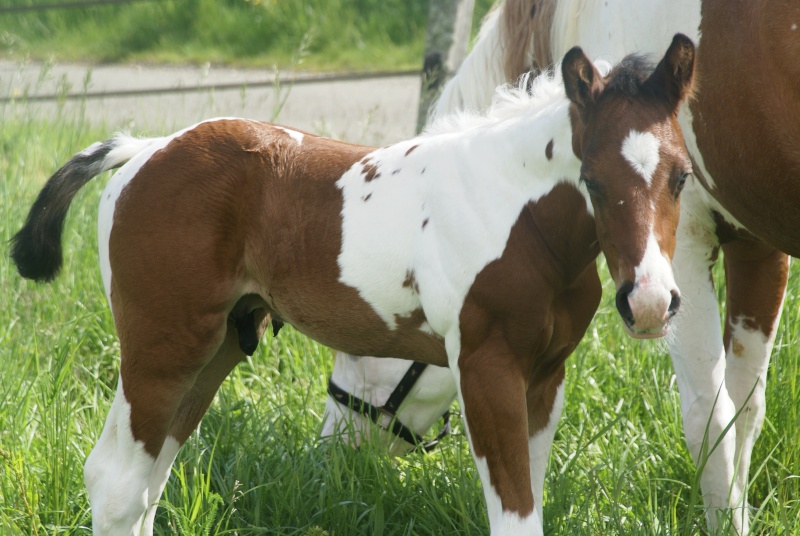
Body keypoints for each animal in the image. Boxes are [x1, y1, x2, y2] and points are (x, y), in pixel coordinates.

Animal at [12, 38, 692, 536]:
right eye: (593, 180)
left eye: (682, 176)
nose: (649, 303)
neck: (513, 211)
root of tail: (145, 148)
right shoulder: (487, 368)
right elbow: (515, 519)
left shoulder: (545, 379)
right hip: (162, 348)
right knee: (117, 484)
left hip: (218, 346)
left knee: (146, 484)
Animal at [324, 2, 800, 532]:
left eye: (360, 347)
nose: (336, 449)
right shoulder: (757, 242)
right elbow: (745, 410)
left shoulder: (683, 250)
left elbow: (709, 420)